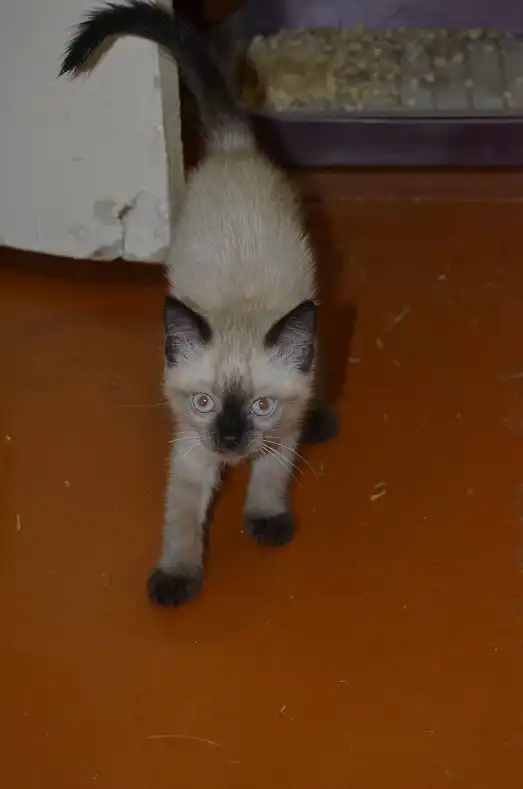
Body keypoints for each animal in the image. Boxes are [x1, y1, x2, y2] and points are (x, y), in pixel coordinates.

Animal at [60, 0, 338, 607]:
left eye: (261, 406)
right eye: (205, 403)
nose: (230, 440)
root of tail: (233, 147)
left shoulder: (281, 429)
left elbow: (271, 475)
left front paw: (266, 520)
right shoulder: (189, 447)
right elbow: (182, 518)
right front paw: (177, 577)